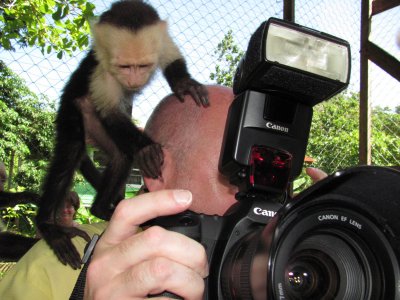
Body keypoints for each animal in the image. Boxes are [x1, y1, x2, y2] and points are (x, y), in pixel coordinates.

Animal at [36, 0, 209, 268]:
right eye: (125, 67)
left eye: (143, 66)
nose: (134, 80)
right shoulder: (102, 69)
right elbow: (112, 114)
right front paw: (147, 148)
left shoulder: (161, 40)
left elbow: (172, 58)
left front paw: (183, 83)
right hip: (74, 110)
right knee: (71, 152)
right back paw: (48, 227)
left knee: (121, 155)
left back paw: (100, 209)